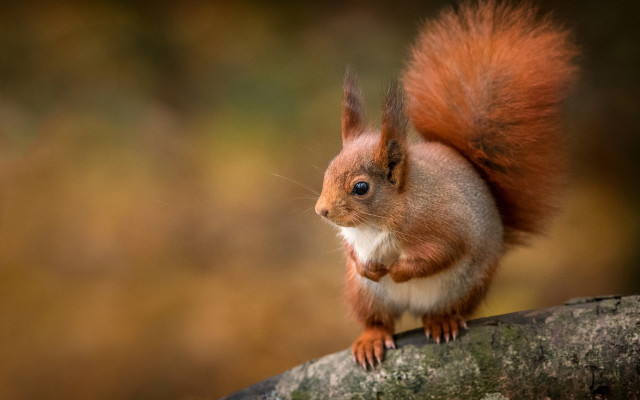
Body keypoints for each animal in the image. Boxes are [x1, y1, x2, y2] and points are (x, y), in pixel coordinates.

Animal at [314, 1, 577, 369]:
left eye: (361, 188)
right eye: (327, 171)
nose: (321, 210)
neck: (381, 219)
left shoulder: (446, 224)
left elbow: (440, 254)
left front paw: (397, 270)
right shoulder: (353, 241)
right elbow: (353, 254)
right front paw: (365, 265)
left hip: (465, 287)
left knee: (442, 309)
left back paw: (442, 322)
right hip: (363, 295)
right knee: (377, 320)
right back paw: (371, 338)